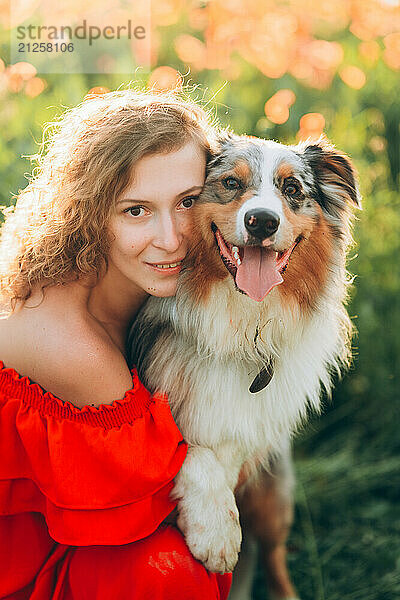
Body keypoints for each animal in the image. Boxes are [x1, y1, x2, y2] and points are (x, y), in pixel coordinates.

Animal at [126, 134, 360, 588]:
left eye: (293, 189)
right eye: (231, 183)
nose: (262, 222)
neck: (243, 320)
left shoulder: (251, 429)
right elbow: (187, 447)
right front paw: (216, 532)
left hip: (272, 499)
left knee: (275, 561)